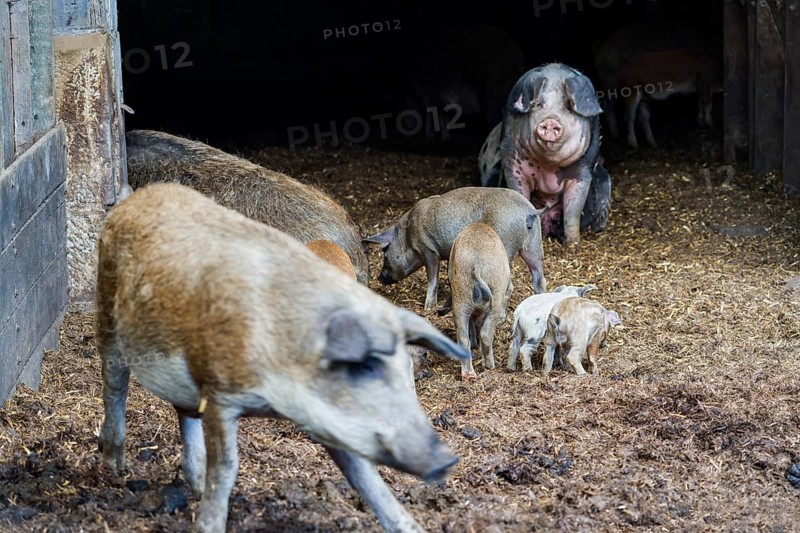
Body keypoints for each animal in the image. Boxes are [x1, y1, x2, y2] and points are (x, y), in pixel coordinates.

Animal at [96, 182, 471, 533]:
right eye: (363, 369)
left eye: (406, 374)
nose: (445, 460)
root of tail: (137, 196)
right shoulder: (221, 394)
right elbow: (226, 467)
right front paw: (210, 521)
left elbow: (369, 480)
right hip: (107, 306)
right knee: (115, 382)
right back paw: (114, 469)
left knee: (183, 411)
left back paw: (194, 483)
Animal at [362, 187, 546, 311]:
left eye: (385, 254)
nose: (379, 278)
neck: (407, 237)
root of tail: (529, 210)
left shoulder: (428, 249)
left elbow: (432, 279)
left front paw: (428, 307)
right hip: (534, 245)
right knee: (539, 278)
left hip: (506, 245)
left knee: (509, 285)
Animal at [444, 222, 513, 381]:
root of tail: (477, 266)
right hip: (495, 292)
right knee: (486, 334)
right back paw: (490, 366)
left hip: (461, 295)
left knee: (463, 338)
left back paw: (469, 376)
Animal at [492, 63, 606, 247]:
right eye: (539, 104)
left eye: (568, 107)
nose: (551, 120)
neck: (549, 167)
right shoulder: (512, 163)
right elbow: (519, 196)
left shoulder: (583, 171)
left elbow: (573, 211)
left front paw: (572, 245)